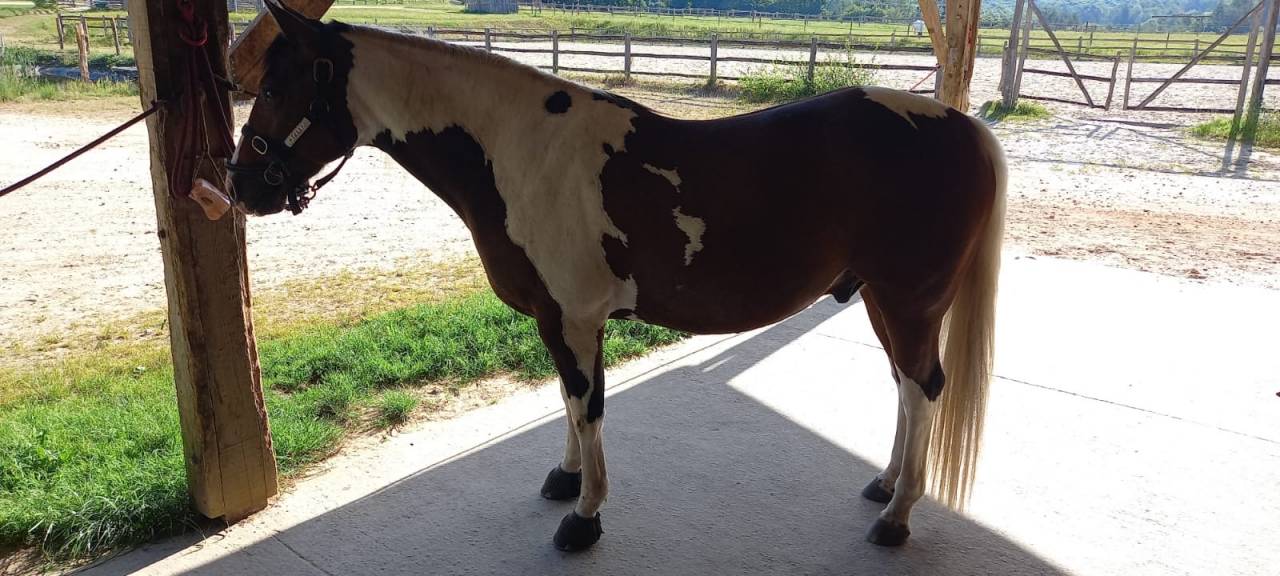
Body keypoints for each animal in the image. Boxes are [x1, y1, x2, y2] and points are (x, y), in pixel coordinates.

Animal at [227, 1, 1006, 552]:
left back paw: (897, 518)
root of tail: (963, 126)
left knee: (924, 389)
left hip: (909, 301)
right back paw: (884, 487)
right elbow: (570, 404)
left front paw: (584, 517)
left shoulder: (574, 319)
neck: (519, 152)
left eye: (277, 86)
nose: (240, 186)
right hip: (881, 299)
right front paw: (565, 479)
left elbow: (588, 405)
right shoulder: (560, 319)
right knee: (907, 388)